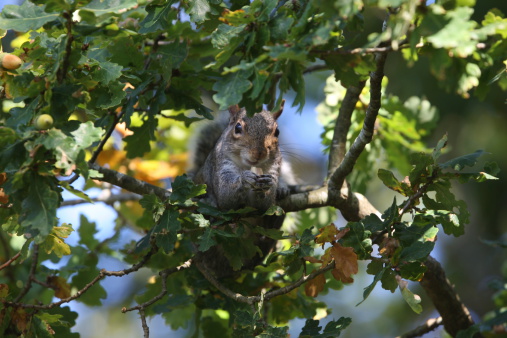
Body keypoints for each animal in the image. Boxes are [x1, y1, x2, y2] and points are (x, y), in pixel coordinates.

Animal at [190, 100, 290, 278]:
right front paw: (245, 178)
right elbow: (226, 196)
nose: (258, 153)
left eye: (277, 132)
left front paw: (271, 186)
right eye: (237, 128)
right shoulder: (221, 166)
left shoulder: (274, 168)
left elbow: (265, 205)